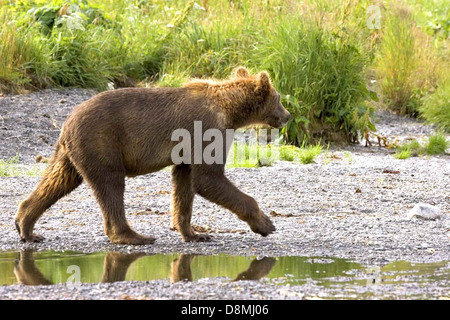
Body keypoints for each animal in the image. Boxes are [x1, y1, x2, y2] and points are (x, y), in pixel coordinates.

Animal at [14, 66, 292, 244]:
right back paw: (134, 236)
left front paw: (195, 233)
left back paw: (26, 226)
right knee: (110, 185)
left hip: (71, 152)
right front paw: (266, 224)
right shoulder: (207, 129)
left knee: (58, 180)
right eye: (279, 97)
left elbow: (184, 183)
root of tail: (67, 121)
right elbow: (208, 178)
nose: (288, 115)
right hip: (102, 142)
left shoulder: (187, 148)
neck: (230, 111)